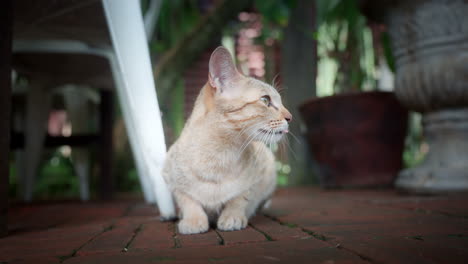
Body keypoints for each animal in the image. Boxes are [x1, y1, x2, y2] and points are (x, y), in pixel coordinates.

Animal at [163, 46, 290, 235]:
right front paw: (193, 220)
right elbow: (188, 200)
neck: (218, 156)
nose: (290, 117)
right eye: (265, 100)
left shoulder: (256, 177)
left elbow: (239, 198)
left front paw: (232, 217)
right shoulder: (170, 178)